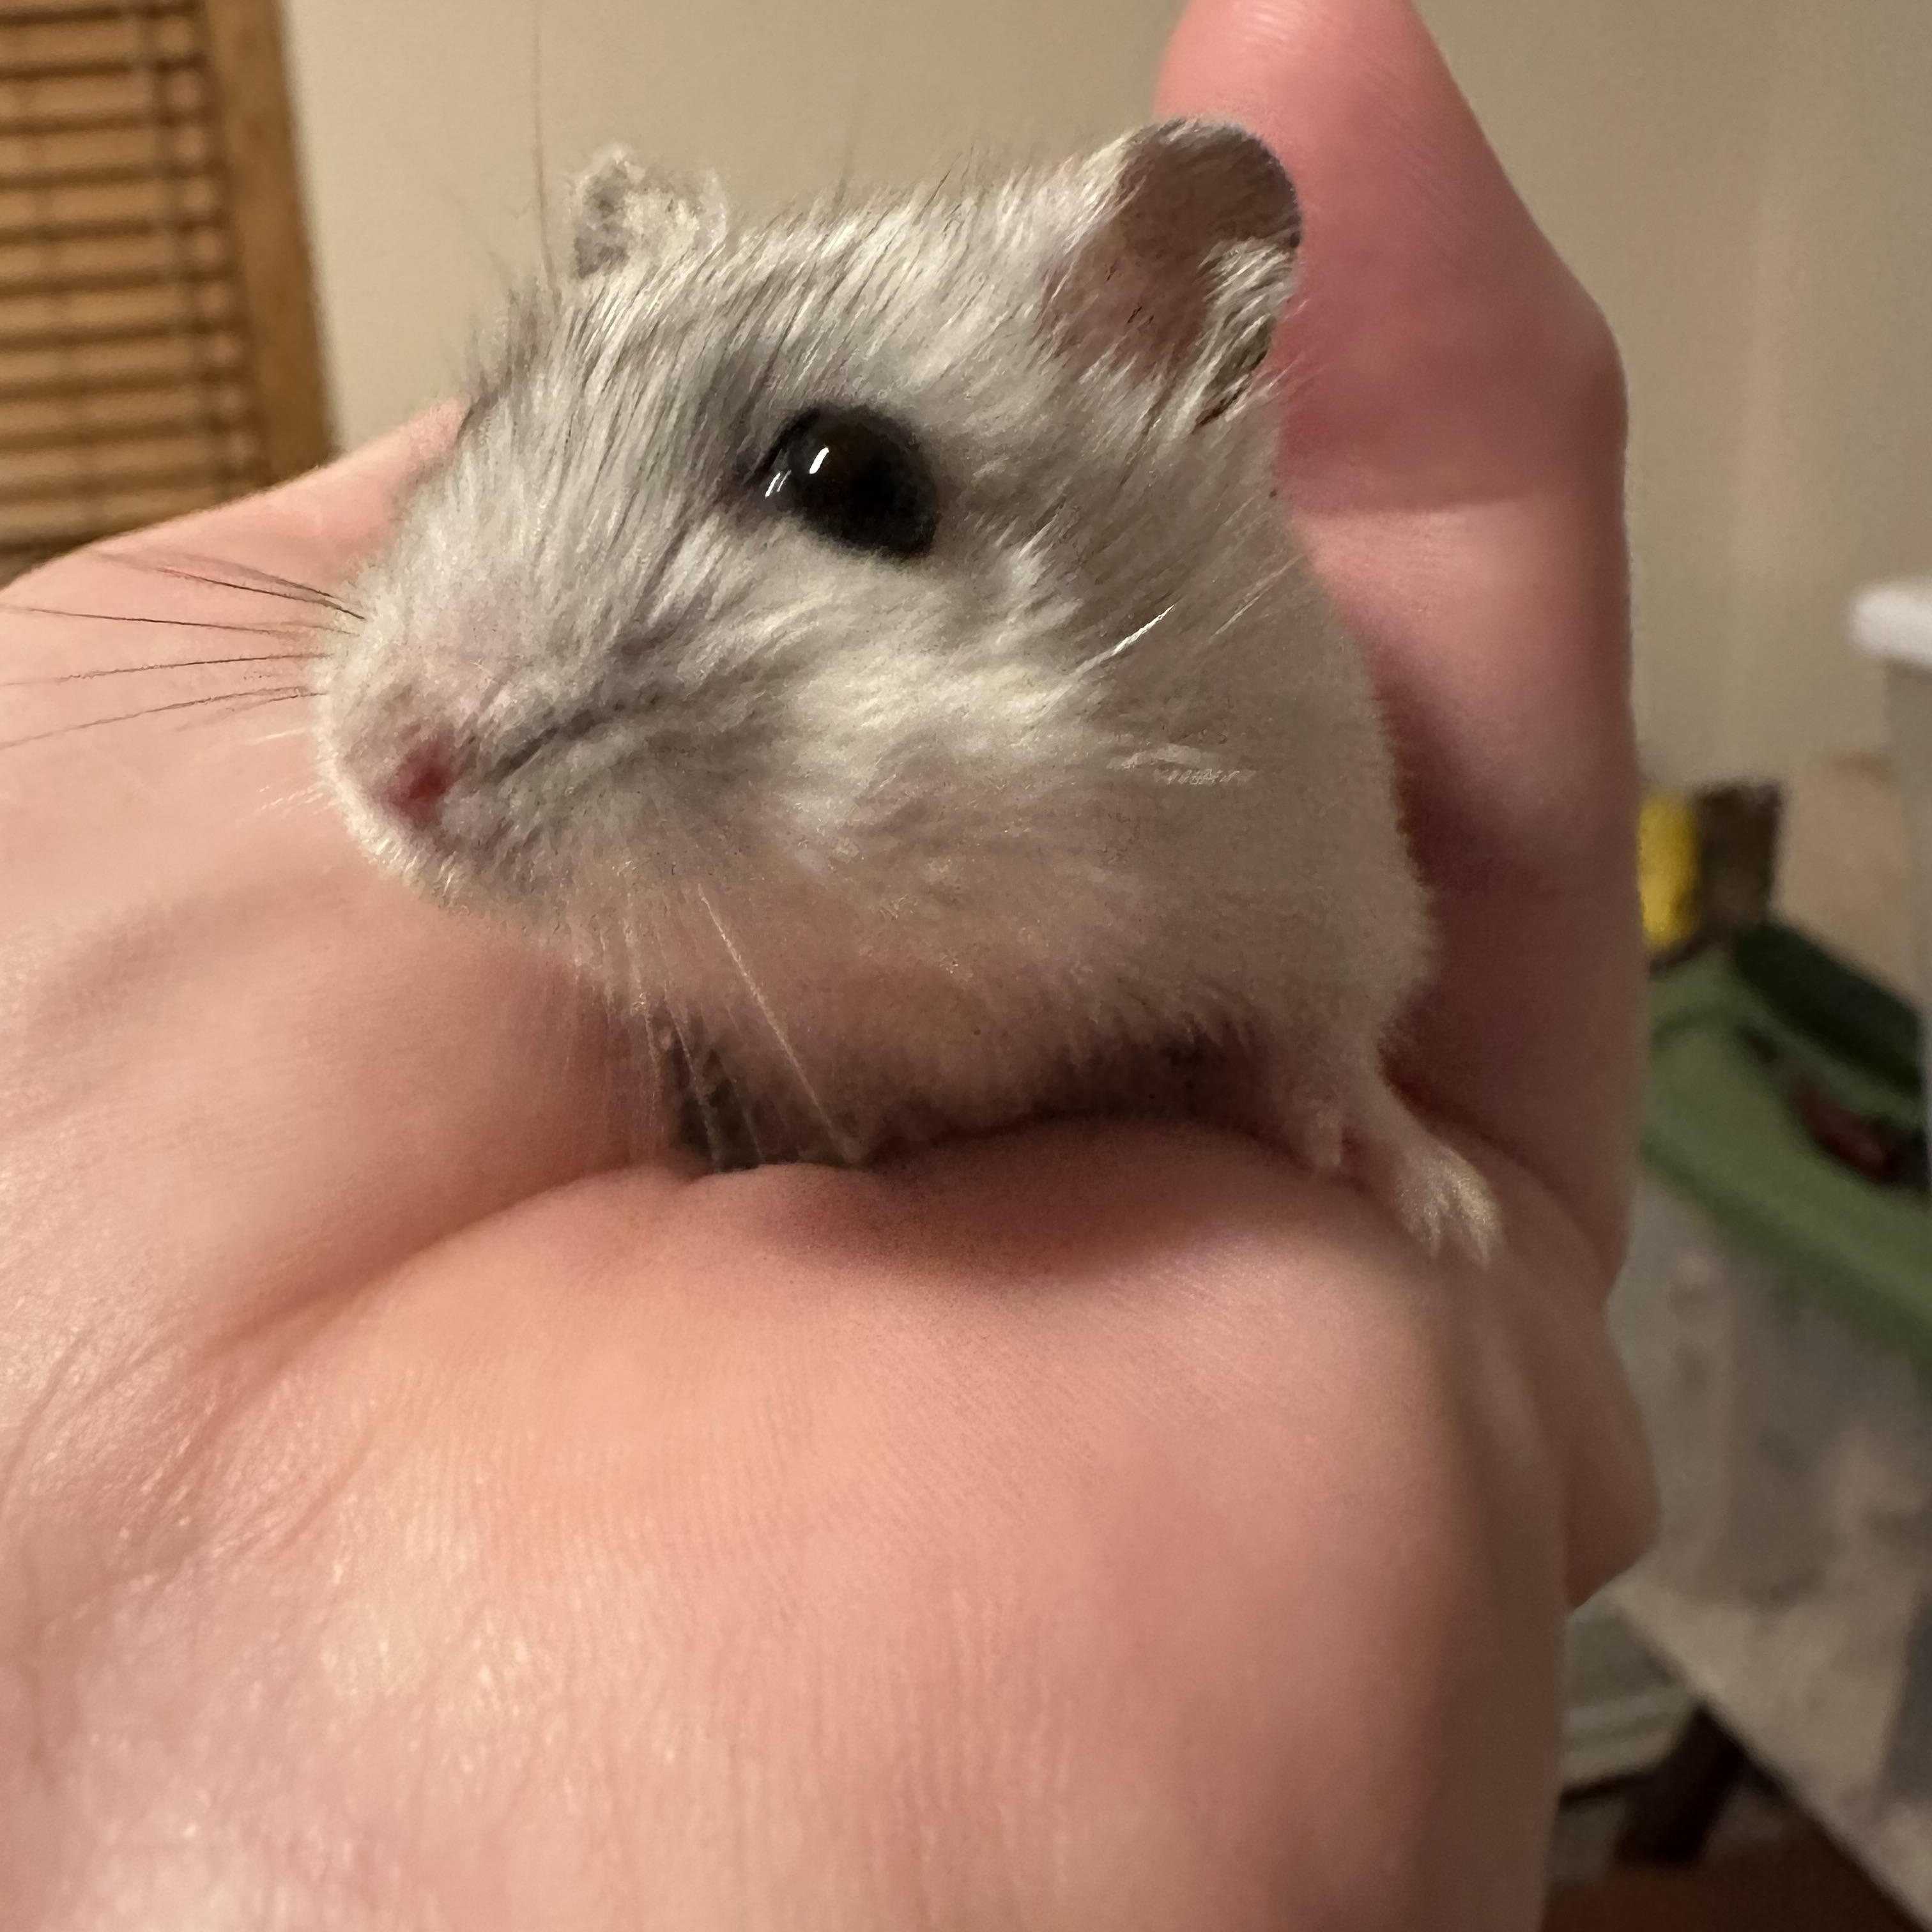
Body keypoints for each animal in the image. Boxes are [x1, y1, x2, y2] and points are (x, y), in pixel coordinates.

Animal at [319, 117, 1498, 1257]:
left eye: (857, 477)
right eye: (479, 420)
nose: (385, 767)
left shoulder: (1335, 878)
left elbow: (1327, 1052)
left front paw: (1446, 1216)